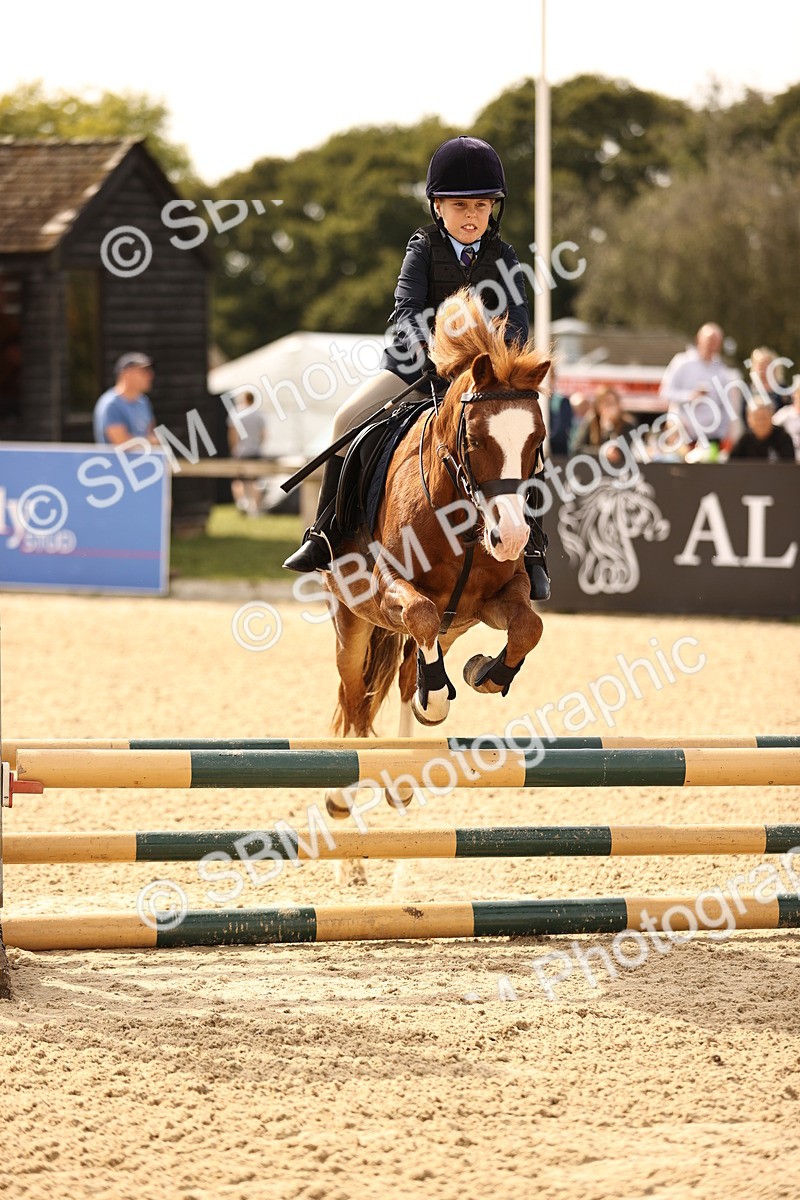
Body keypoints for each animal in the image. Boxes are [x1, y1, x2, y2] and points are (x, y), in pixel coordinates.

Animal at [323, 289, 550, 817]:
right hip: (351, 620)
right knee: (356, 696)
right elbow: (421, 613)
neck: (465, 521)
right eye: (474, 439)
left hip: (455, 624)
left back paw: (404, 773)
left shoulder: (497, 595)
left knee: (408, 673)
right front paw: (440, 699)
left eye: (537, 441)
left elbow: (529, 627)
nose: (511, 537)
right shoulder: (389, 585)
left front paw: (485, 673)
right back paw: (344, 791)